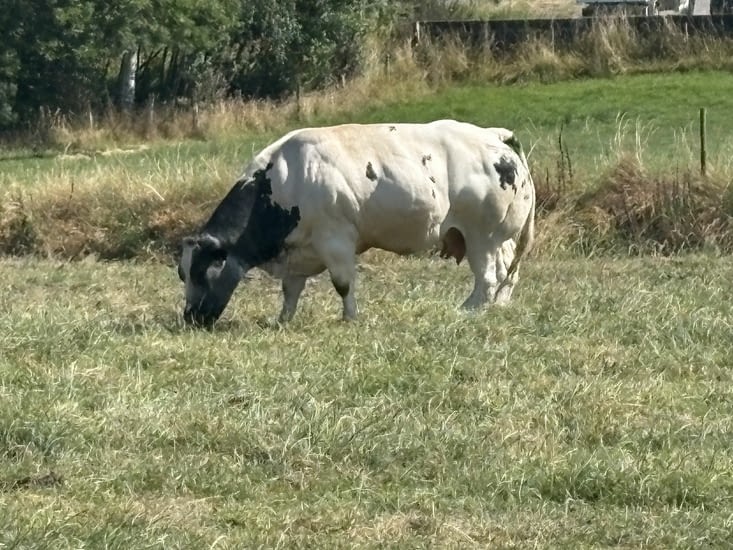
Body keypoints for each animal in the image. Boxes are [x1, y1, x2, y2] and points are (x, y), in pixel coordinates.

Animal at [178, 119, 535, 326]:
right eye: (183, 274)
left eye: (200, 273)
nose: (190, 318)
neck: (283, 183)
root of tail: (492, 135)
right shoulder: (298, 252)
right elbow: (290, 291)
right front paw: (282, 321)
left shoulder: (336, 240)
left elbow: (343, 284)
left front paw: (350, 318)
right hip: (498, 238)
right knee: (507, 273)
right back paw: (498, 306)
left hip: (481, 236)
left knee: (487, 279)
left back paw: (467, 310)